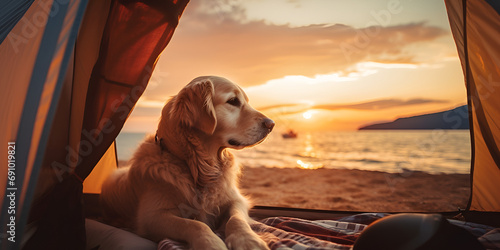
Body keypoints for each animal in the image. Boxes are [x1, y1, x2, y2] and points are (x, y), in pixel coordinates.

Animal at [100, 75, 274, 249]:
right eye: (232, 101)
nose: (271, 124)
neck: (200, 166)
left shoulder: (236, 200)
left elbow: (236, 218)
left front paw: (248, 240)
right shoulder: (151, 217)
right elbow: (194, 224)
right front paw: (211, 243)